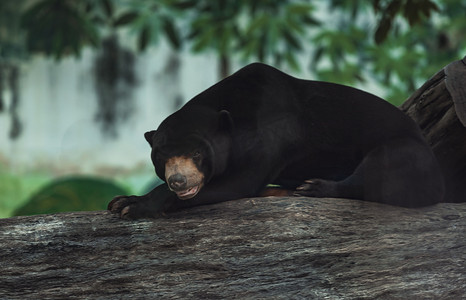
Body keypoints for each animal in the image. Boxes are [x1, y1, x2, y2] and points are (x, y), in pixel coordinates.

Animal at [108, 62, 444, 219]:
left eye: (197, 153)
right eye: (161, 157)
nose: (178, 180)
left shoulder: (270, 139)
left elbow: (240, 183)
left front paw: (134, 206)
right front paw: (122, 200)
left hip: (406, 151)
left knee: (378, 171)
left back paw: (311, 188)